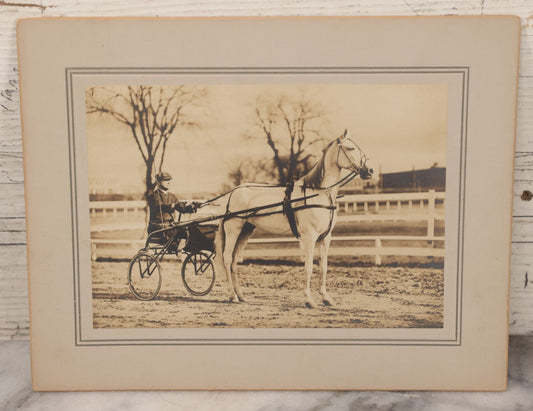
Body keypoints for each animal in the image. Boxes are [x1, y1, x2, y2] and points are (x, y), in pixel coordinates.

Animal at [212, 130, 370, 308]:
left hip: (245, 232)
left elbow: (323, 267)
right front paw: (309, 300)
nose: (369, 170)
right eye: (350, 148)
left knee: (233, 262)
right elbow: (308, 267)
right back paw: (232, 295)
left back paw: (240, 295)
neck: (318, 193)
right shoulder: (309, 237)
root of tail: (232, 193)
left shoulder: (325, 238)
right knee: (226, 258)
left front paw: (326, 298)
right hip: (234, 230)